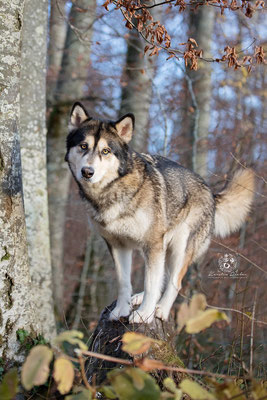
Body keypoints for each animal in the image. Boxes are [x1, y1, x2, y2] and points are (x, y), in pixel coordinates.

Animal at [65, 101, 255, 324]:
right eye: (83, 146)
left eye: (105, 151)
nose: (87, 172)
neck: (113, 192)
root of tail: (210, 191)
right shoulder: (118, 245)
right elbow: (124, 282)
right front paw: (122, 310)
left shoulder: (152, 243)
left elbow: (151, 283)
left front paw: (144, 314)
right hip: (163, 247)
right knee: (162, 277)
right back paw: (139, 298)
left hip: (178, 248)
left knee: (174, 282)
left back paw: (161, 309)